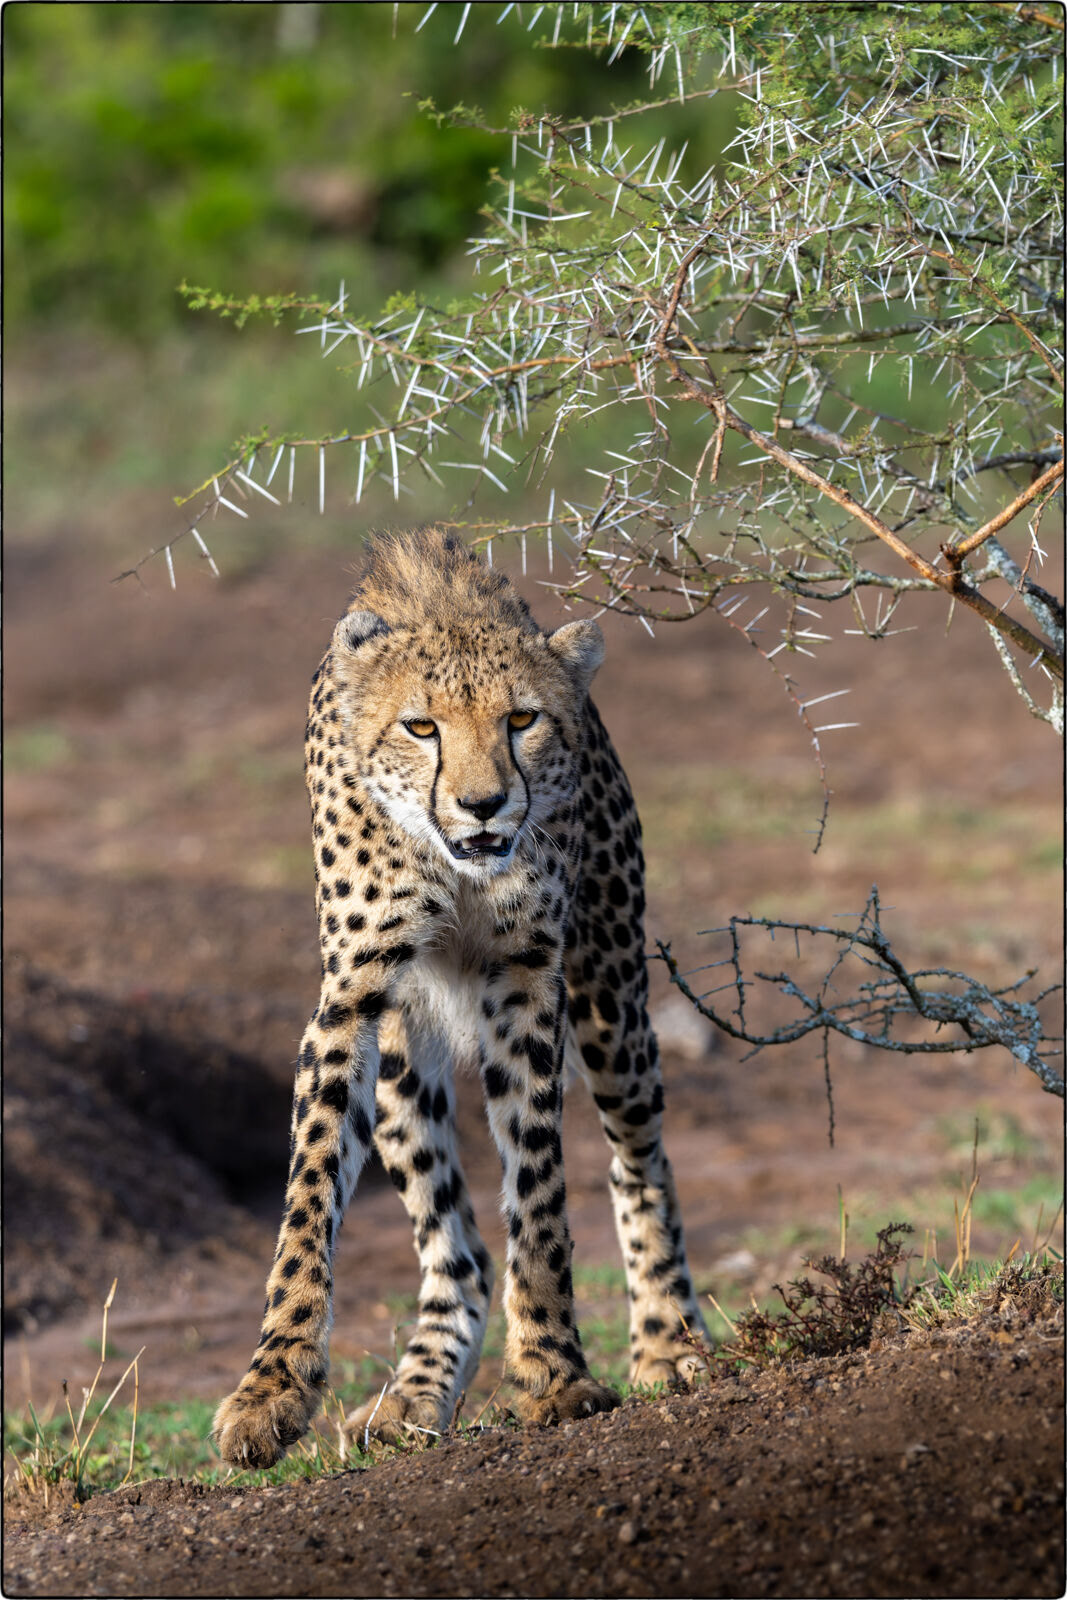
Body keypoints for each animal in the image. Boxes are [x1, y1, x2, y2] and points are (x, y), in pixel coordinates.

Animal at [214, 527, 708, 1468]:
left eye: (521, 720)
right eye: (421, 726)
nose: (484, 805)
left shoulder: (528, 980)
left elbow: (540, 1189)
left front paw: (553, 1373)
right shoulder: (355, 995)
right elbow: (307, 1199)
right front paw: (272, 1390)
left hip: (611, 999)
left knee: (638, 1159)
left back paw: (667, 1342)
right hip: (405, 1058)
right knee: (458, 1248)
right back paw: (416, 1390)